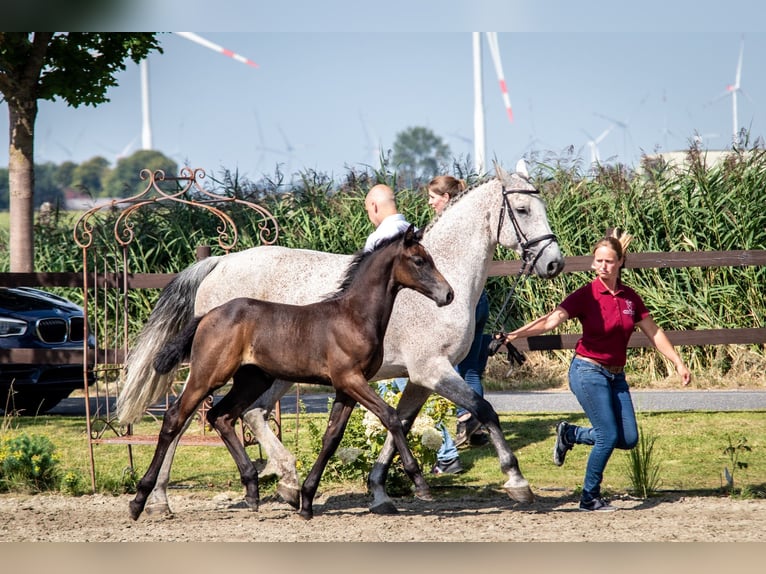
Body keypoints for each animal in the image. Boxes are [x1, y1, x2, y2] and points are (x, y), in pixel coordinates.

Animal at [127, 226, 454, 520]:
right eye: (419, 260)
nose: (448, 294)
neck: (353, 317)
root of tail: (207, 315)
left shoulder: (344, 388)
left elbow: (332, 437)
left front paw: (306, 500)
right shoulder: (351, 379)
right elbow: (391, 417)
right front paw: (420, 482)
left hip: (252, 379)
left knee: (220, 416)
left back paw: (252, 490)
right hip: (208, 375)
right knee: (175, 418)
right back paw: (140, 500)